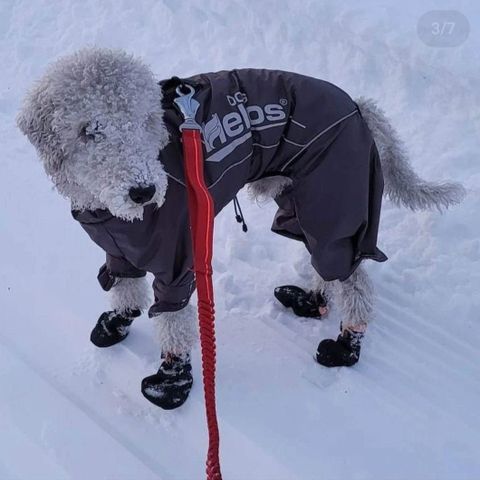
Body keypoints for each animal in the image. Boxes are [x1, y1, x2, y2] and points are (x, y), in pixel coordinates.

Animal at [15, 48, 464, 408]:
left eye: (145, 121)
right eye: (88, 130)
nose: (144, 192)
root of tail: (359, 108)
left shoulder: (178, 259)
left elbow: (173, 319)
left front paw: (171, 383)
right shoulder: (119, 248)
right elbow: (125, 287)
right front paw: (117, 322)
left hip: (335, 200)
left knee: (353, 281)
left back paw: (344, 346)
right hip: (304, 202)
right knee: (327, 264)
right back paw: (309, 300)